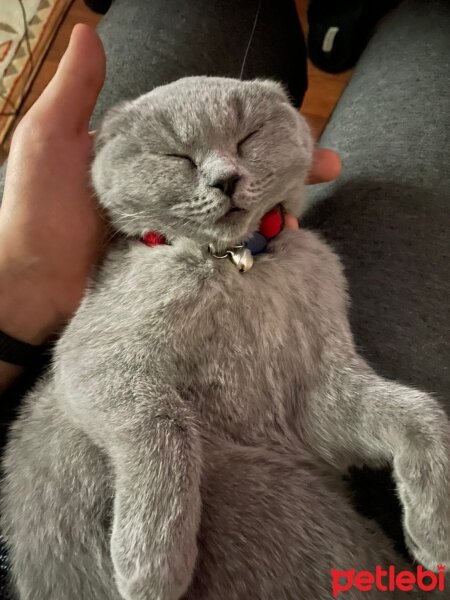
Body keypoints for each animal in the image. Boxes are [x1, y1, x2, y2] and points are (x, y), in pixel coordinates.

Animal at [0, 77, 450, 596]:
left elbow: (417, 409)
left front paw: (435, 529)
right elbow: (165, 425)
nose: (226, 178)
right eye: (178, 156)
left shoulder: (317, 394)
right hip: (278, 497)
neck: (234, 261)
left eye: (247, 137)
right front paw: (151, 565)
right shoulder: (94, 358)